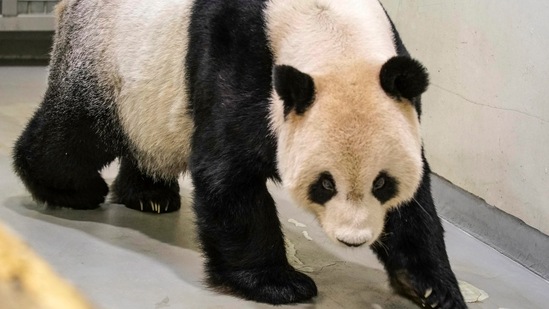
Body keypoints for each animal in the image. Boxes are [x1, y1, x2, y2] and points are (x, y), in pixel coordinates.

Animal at [12, 0, 464, 306]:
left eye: (382, 183)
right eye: (325, 184)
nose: (353, 239)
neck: (330, 33)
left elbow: (417, 201)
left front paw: (429, 287)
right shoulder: (239, 59)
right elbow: (227, 173)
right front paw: (279, 283)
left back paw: (150, 196)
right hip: (106, 60)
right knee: (77, 133)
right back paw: (71, 190)